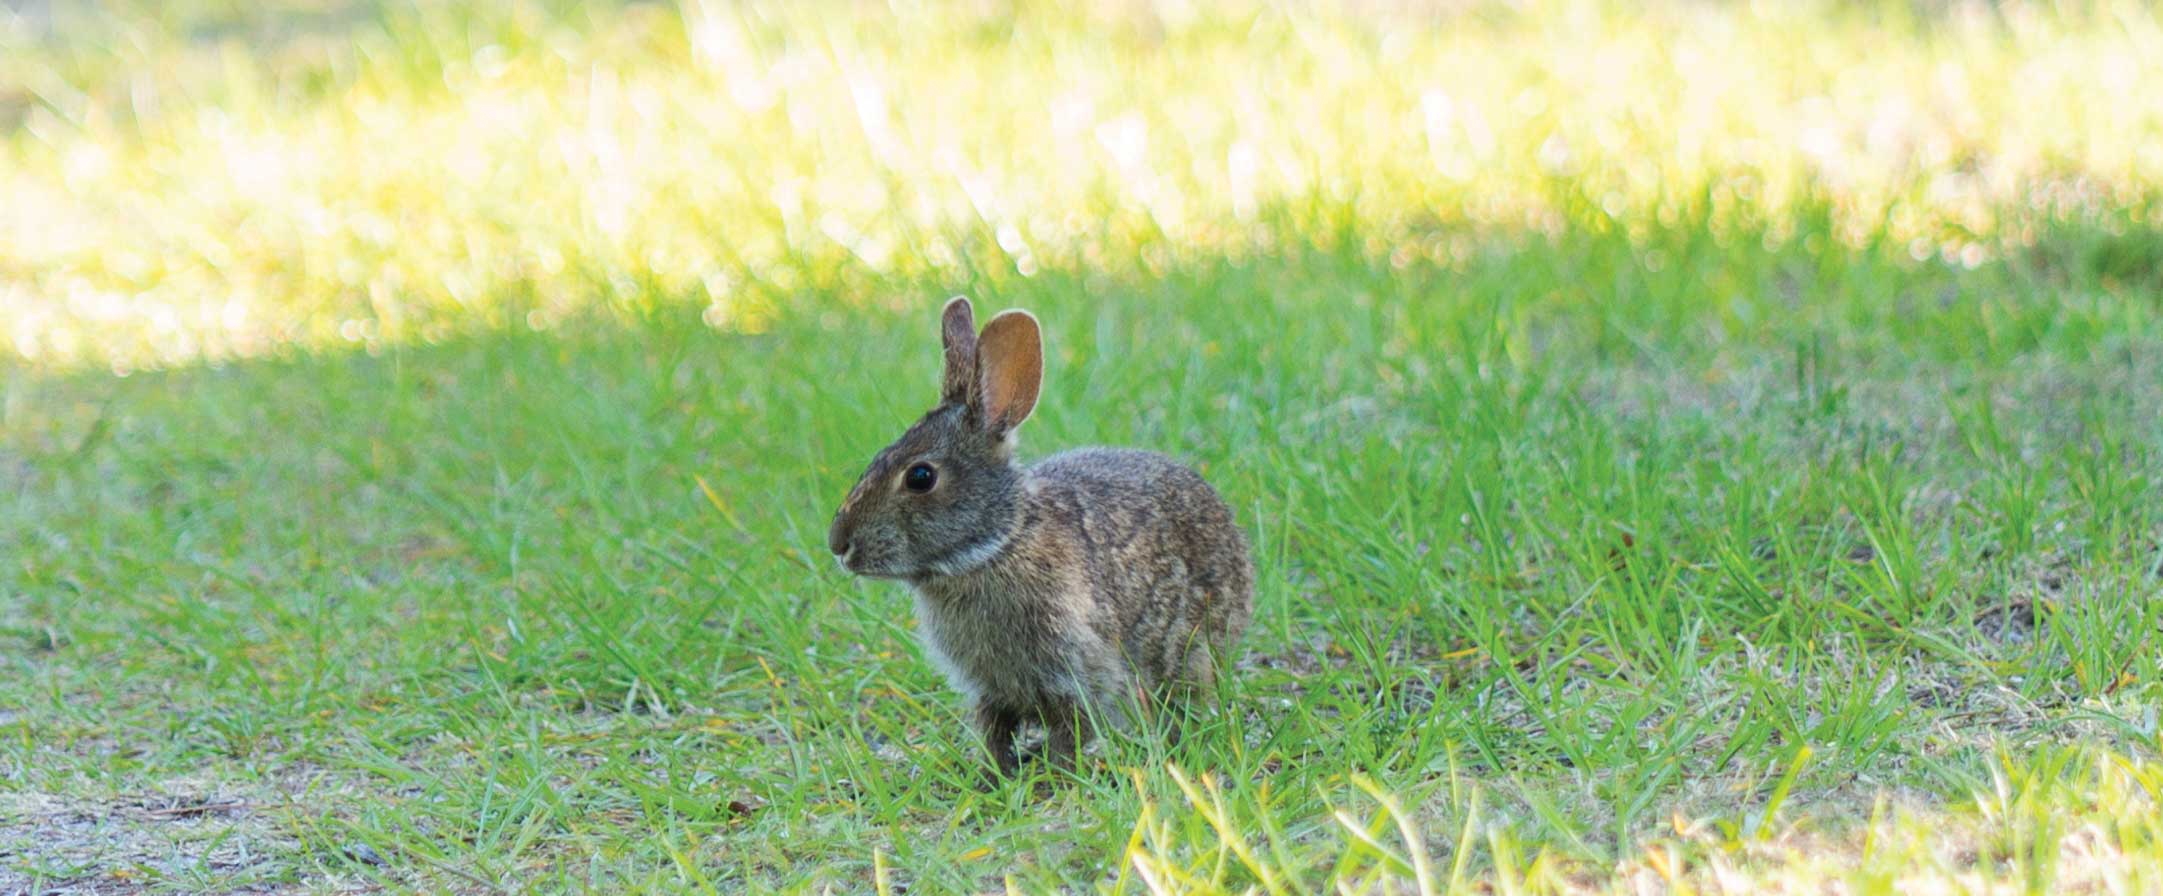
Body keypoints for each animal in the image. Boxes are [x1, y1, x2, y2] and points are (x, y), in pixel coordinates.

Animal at [827, 297, 1254, 776]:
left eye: (920, 477)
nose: (838, 544)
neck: (998, 545)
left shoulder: (1076, 671)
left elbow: (1074, 727)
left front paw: (1051, 770)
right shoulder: (991, 689)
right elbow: (994, 727)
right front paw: (992, 772)